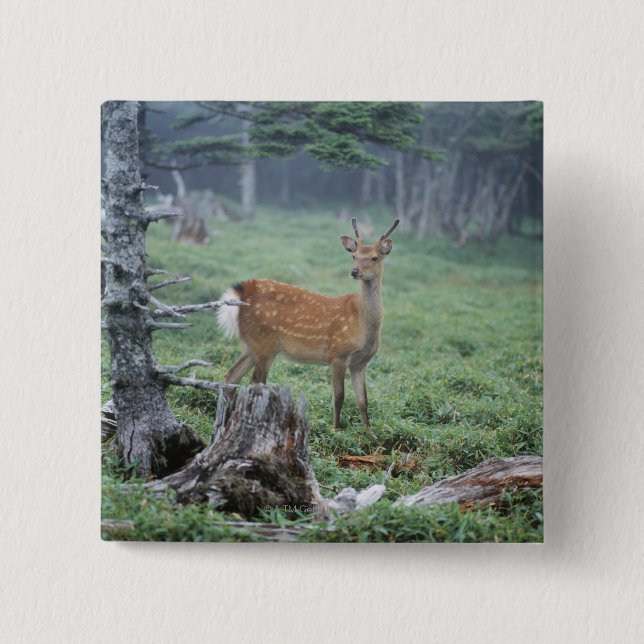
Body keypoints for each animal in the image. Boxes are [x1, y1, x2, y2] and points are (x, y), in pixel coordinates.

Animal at [217, 217, 400, 428]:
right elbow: (339, 397)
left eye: (374, 258)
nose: (355, 271)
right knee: (254, 383)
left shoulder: (361, 362)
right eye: (354, 256)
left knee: (231, 376)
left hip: (252, 345)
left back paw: (223, 423)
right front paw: (335, 429)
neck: (363, 323)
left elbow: (363, 400)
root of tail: (239, 295)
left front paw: (367, 431)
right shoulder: (337, 353)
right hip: (264, 343)